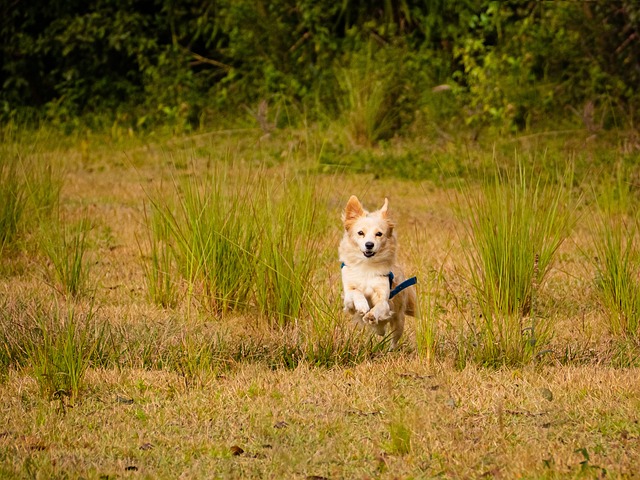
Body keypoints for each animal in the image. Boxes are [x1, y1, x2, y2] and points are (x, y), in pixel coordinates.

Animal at [338, 197, 418, 346]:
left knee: (393, 338)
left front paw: (372, 314)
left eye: (379, 234)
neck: (367, 266)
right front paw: (362, 304)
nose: (369, 244)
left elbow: (380, 306)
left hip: (398, 321)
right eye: (360, 233)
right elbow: (356, 292)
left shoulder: (384, 299)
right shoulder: (348, 298)